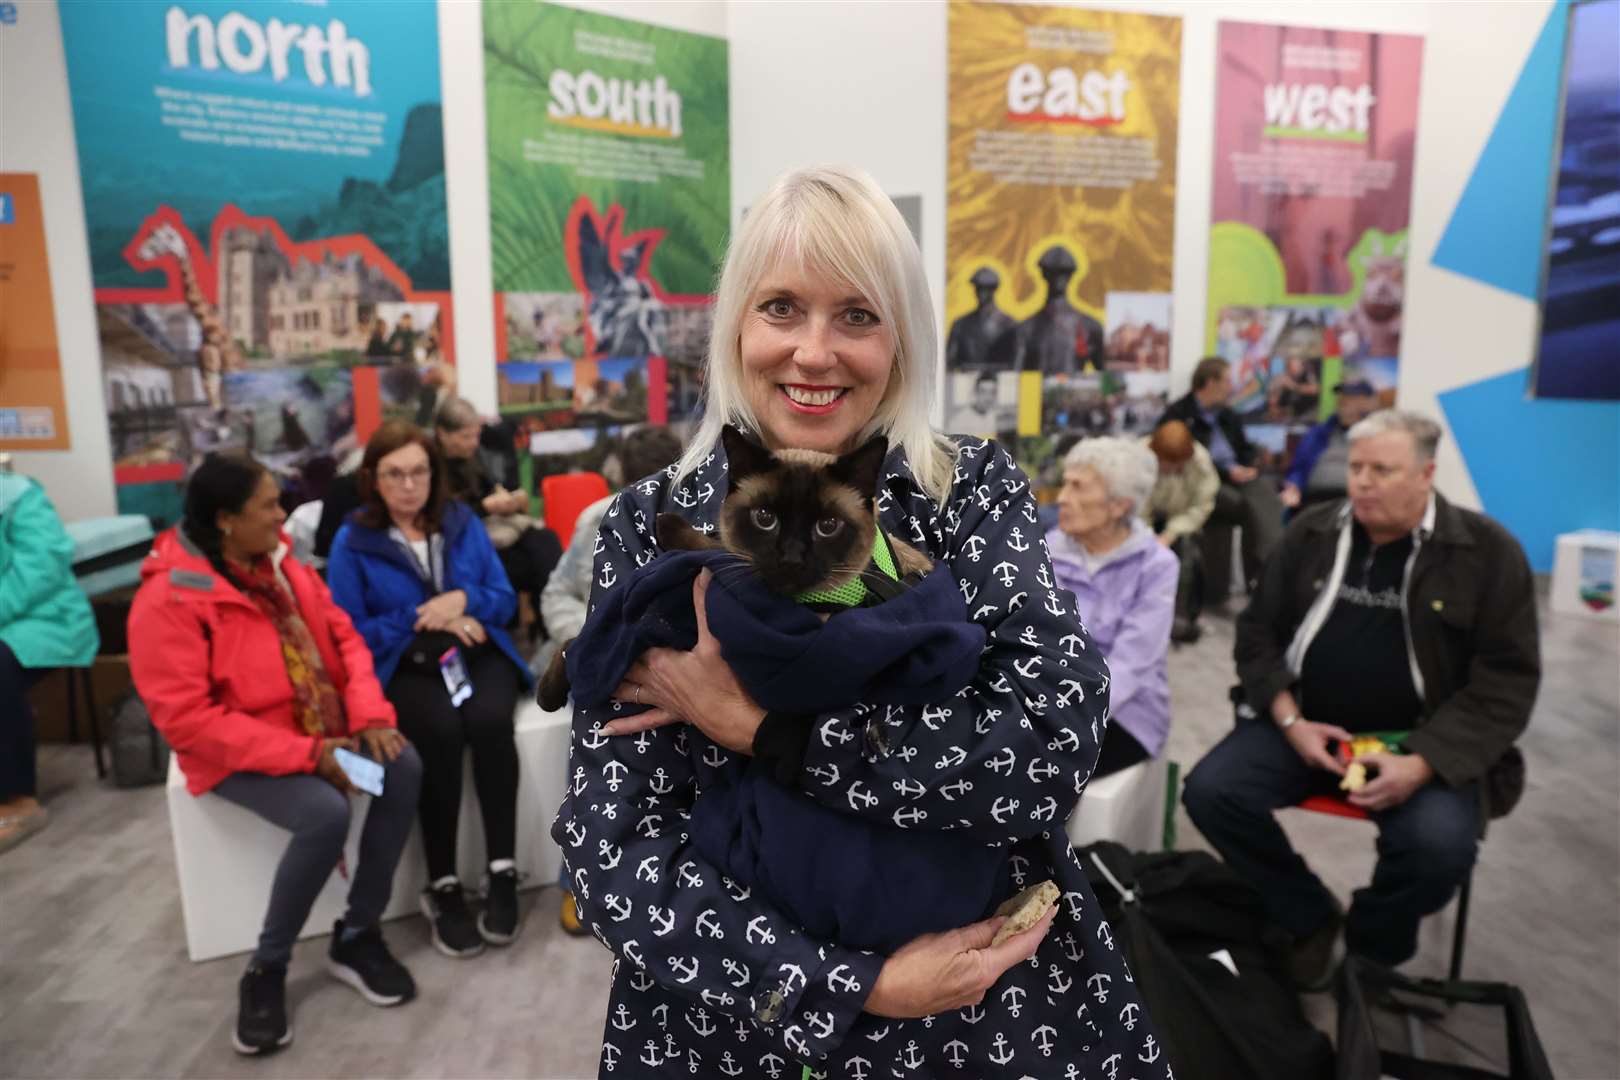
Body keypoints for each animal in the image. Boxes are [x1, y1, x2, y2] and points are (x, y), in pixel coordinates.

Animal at [537, 430, 1056, 952]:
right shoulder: (719, 578)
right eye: (766, 519)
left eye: (827, 526)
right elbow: (600, 628)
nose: (791, 557)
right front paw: (552, 690)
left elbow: (619, 622)